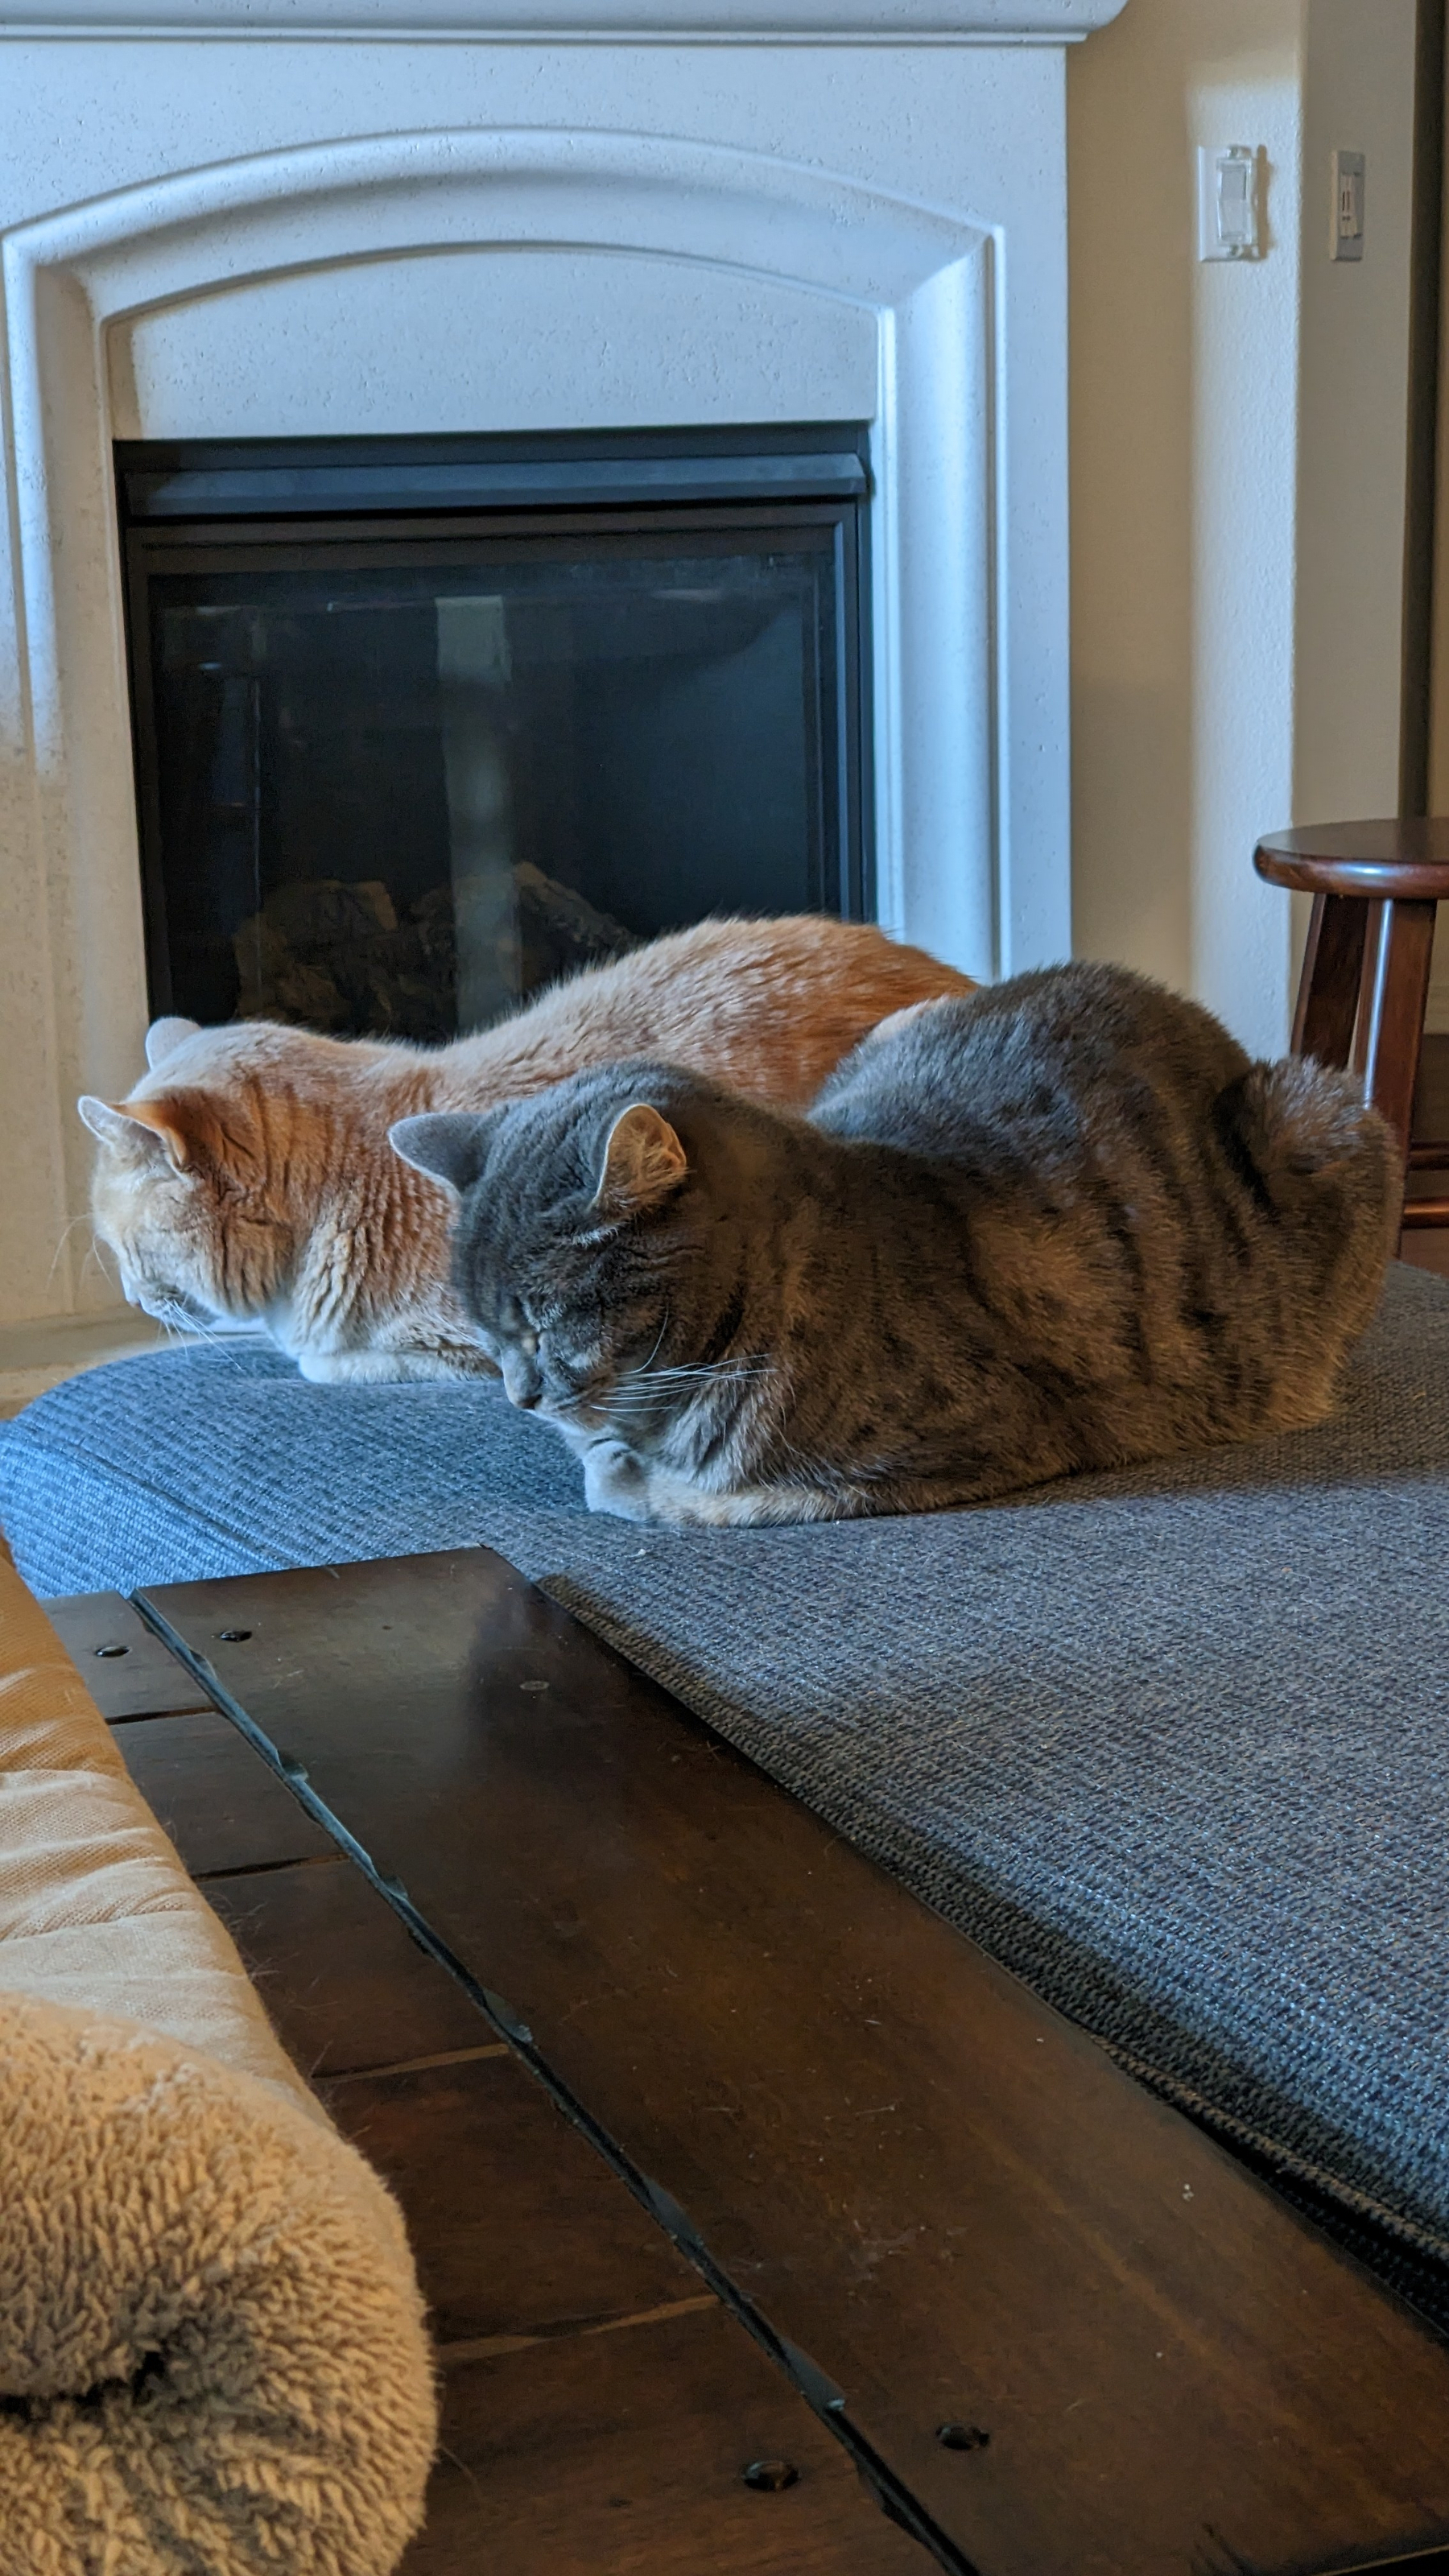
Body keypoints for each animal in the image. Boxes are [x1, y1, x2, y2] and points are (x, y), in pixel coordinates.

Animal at [391, 962, 1398, 1525]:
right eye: (487, 1333)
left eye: (544, 1319)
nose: (518, 1395)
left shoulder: (961, 1446)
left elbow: (685, 1497)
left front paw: (625, 1473)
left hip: (1322, 1116)